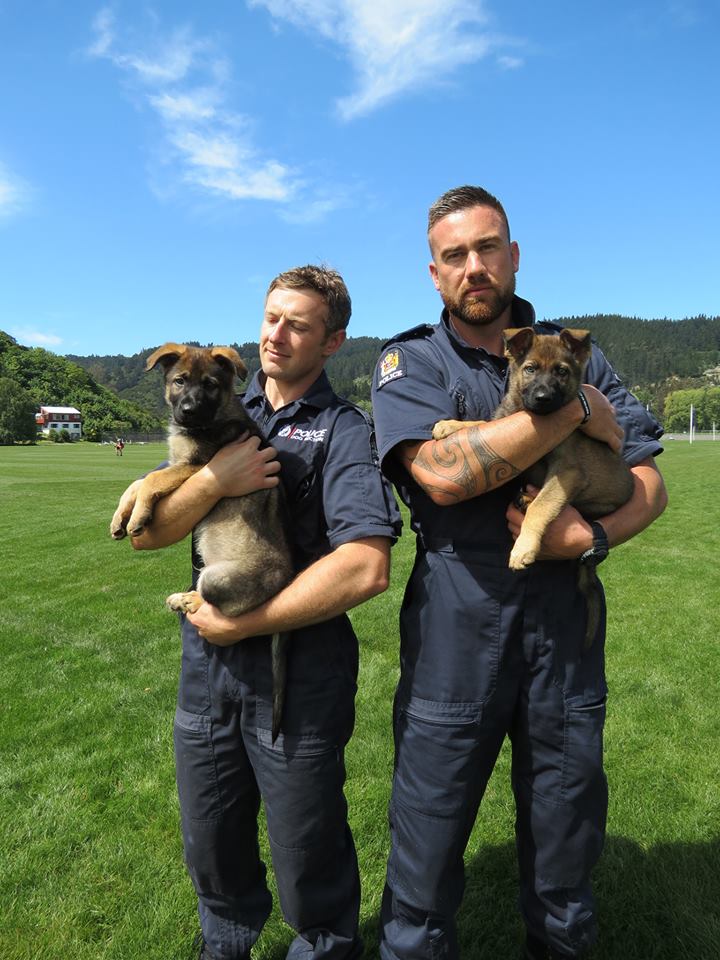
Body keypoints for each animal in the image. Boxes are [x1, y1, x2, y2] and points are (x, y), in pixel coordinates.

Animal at [109, 344, 292, 744]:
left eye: (210, 385)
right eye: (179, 381)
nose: (189, 411)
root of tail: (287, 584)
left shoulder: (197, 466)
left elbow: (151, 480)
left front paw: (138, 517)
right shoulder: (179, 464)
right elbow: (138, 480)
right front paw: (120, 517)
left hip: (217, 577)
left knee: (223, 605)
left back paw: (189, 601)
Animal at [430, 326, 632, 648]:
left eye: (561, 371)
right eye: (530, 369)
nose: (543, 397)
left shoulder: (567, 471)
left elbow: (542, 506)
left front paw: (522, 548)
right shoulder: (504, 427)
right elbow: (479, 425)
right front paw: (451, 425)